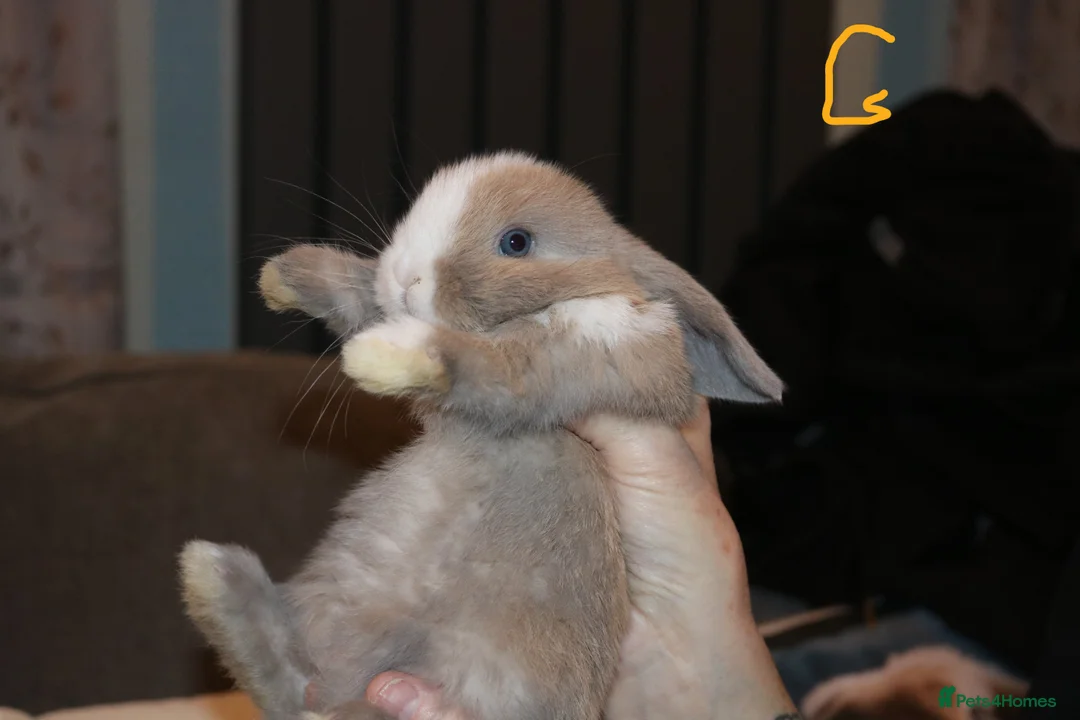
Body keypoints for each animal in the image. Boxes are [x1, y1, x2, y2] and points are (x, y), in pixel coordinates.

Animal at [178, 151, 784, 720]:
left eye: (516, 242)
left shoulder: (572, 355)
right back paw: (211, 577)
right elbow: (361, 298)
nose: (406, 276)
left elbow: (485, 361)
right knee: (287, 677)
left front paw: (381, 355)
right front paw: (283, 276)